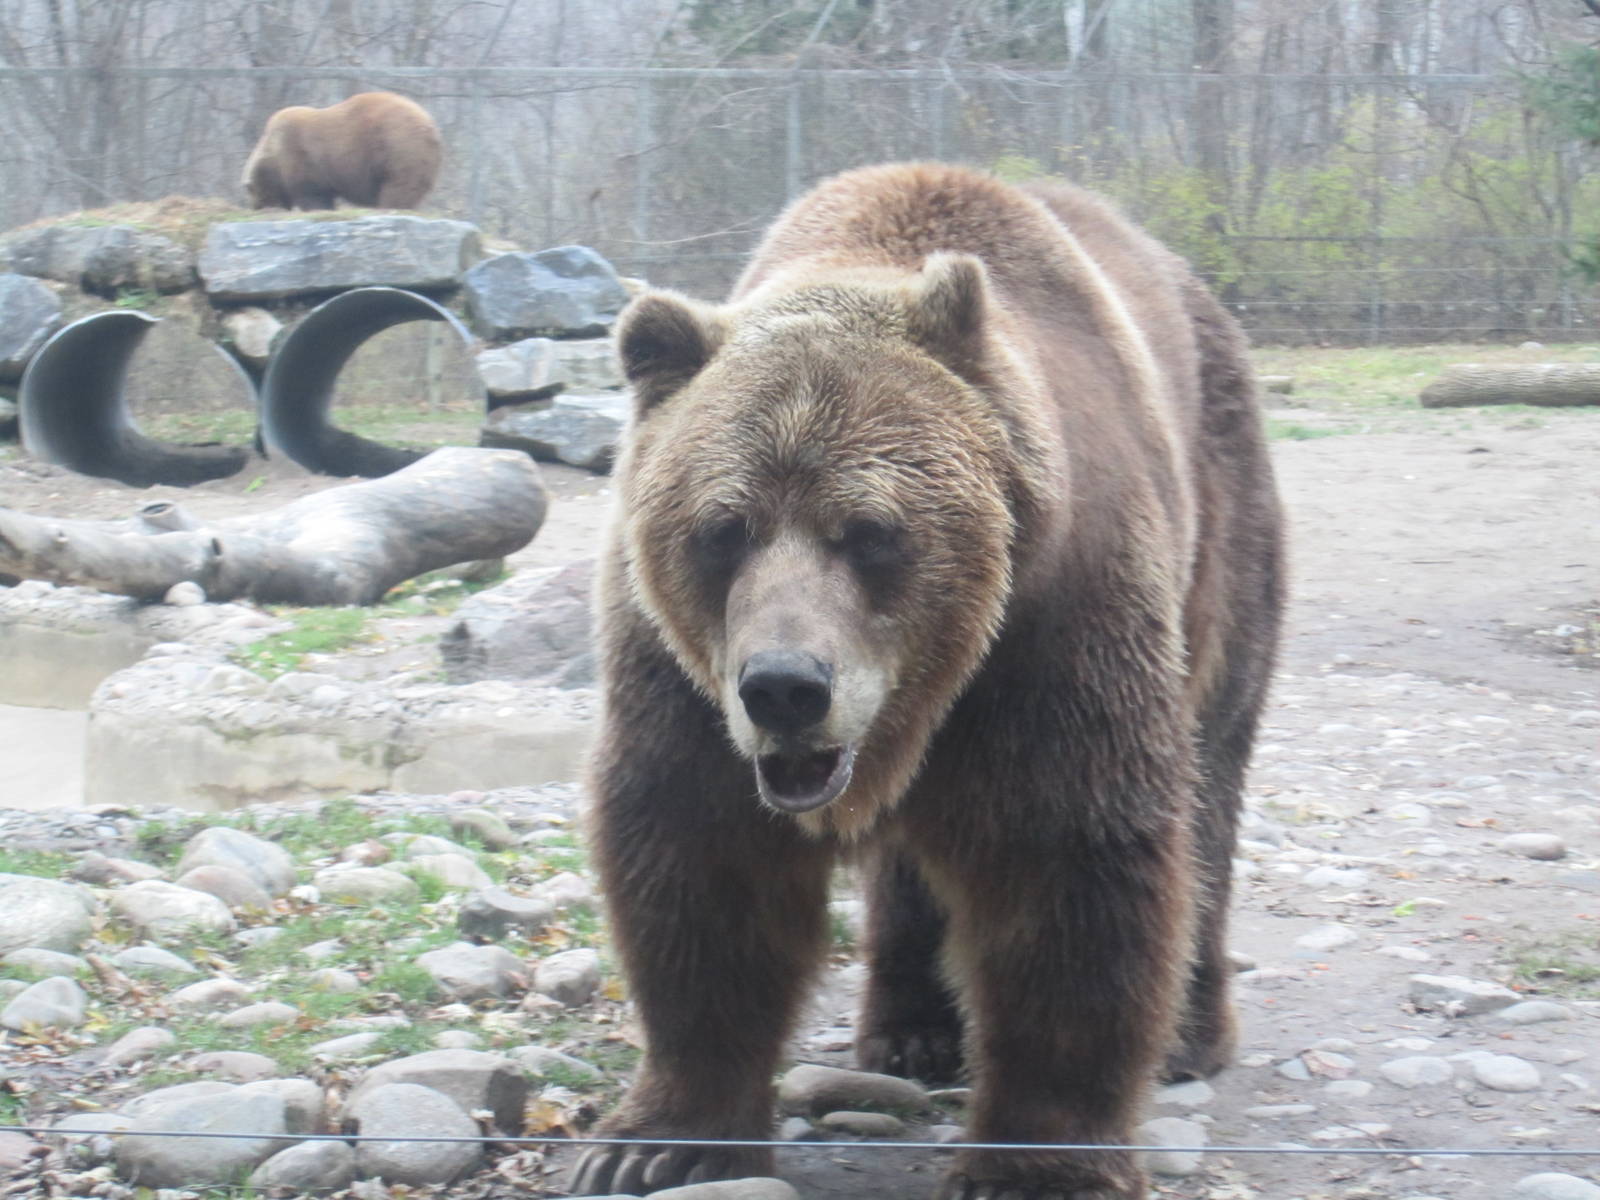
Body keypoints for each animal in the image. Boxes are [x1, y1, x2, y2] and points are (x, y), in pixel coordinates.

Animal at [241, 91, 442, 211]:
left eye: (255, 194)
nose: (257, 208)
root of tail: (429, 126)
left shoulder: (301, 159)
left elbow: (312, 196)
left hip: (395, 147)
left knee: (398, 188)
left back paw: (388, 206)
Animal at [571, 162, 1285, 1199]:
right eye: (723, 528)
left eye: (870, 531)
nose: (785, 687)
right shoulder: (676, 673)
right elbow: (699, 859)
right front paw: (657, 1139)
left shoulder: (1051, 622)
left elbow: (1064, 855)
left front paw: (1037, 1164)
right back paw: (909, 1032)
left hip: (1222, 536)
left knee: (1211, 779)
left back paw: (1190, 1033)